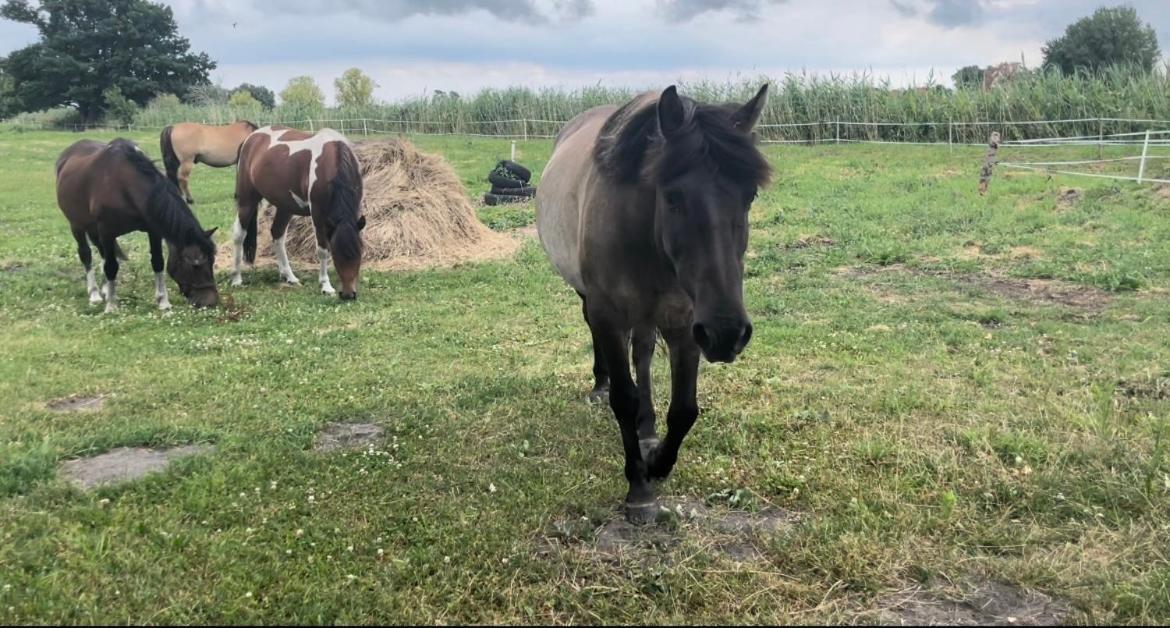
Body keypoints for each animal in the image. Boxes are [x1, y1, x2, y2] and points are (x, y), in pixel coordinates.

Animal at [56, 139, 221, 311]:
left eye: (212, 261)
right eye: (195, 265)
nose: (210, 301)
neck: (124, 187)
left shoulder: (153, 230)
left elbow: (157, 262)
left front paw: (163, 302)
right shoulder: (107, 232)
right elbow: (111, 266)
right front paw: (111, 306)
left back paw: (105, 290)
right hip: (77, 225)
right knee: (86, 254)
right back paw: (94, 294)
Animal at [232, 126, 365, 299]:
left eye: (359, 254)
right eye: (336, 255)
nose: (348, 294)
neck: (331, 159)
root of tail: (251, 138)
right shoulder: (318, 214)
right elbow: (323, 249)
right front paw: (326, 286)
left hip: (285, 206)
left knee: (278, 234)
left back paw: (290, 277)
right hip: (247, 200)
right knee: (239, 235)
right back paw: (236, 279)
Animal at [535, 84, 772, 523]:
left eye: (749, 195)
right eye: (673, 197)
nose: (728, 334)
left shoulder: (687, 323)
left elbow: (684, 409)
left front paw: (658, 461)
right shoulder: (610, 315)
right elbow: (624, 399)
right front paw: (639, 490)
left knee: (643, 353)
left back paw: (647, 432)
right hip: (593, 301)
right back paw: (600, 385)